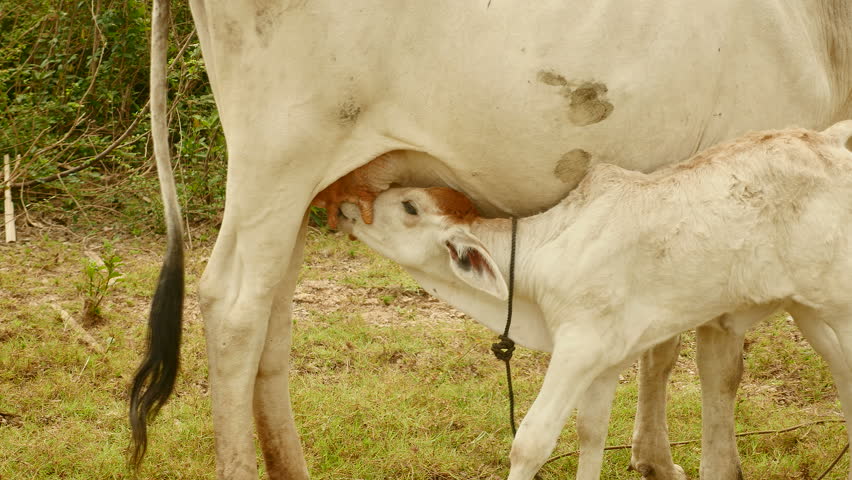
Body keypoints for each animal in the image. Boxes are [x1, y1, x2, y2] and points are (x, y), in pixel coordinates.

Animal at [336, 123, 852, 480]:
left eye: (410, 207)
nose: (345, 206)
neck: (549, 247)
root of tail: (829, 142)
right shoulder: (606, 360)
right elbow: (591, 432)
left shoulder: (577, 347)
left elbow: (532, 440)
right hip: (809, 309)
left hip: (840, 307)